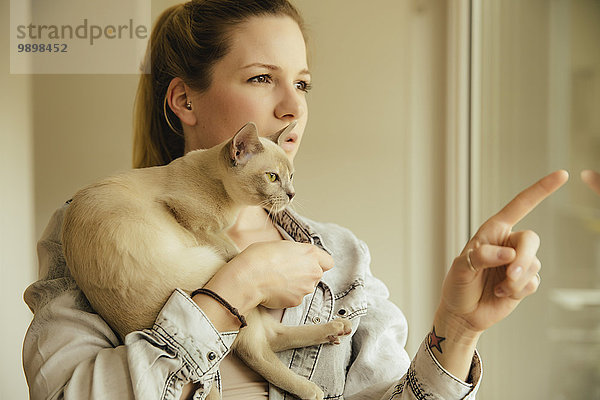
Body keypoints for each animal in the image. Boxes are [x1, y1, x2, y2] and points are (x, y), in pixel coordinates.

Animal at [61, 122, 352, 400]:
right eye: (272, 177)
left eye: (291, 176)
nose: (292, 194)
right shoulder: (192, 221)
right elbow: (236, 249)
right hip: (212, 267)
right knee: (257, 350)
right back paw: (311, 388)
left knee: (270, 337)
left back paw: (336, 329)